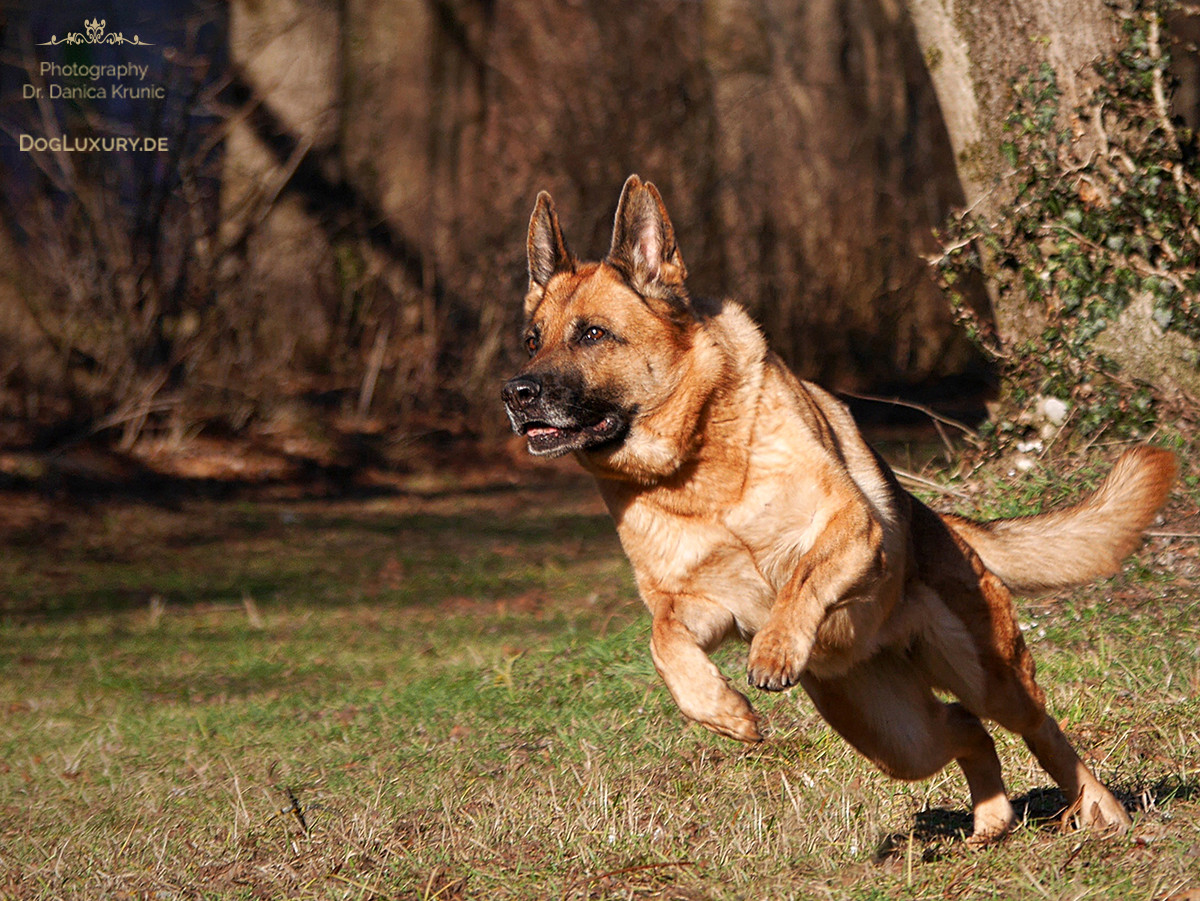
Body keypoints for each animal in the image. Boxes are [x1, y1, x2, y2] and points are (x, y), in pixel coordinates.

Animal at [501, 176, 1176, 844]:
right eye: (532, 341)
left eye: (592, 334)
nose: (515, 392)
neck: (695, 470)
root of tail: (940, 521)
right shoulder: (697, 605)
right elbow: (662, 643)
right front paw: (725, 713)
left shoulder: (850, 527)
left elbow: (800, 578)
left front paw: (775, 651)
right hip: (895, 737)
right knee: (963, 728)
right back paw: (991, 821)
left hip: (988, 675)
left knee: (1036, 728)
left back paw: (1100, 812)